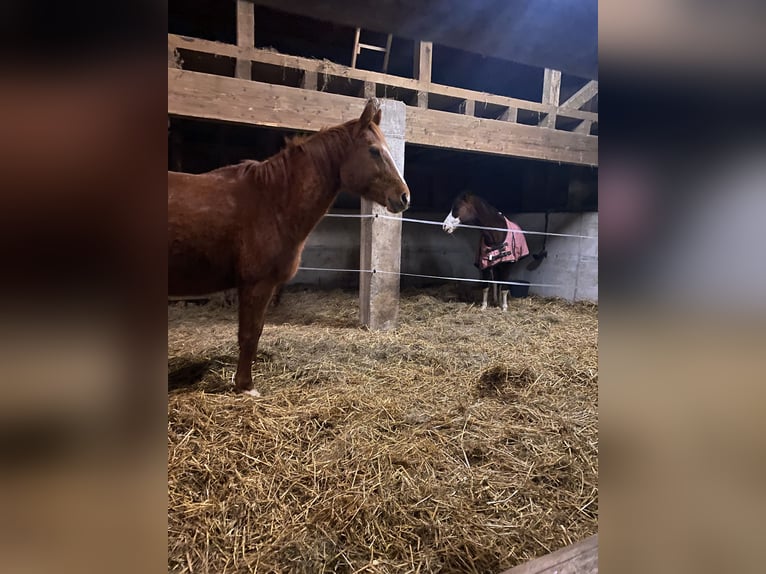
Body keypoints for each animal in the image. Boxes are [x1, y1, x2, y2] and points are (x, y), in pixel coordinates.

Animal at [170, 100, 412, 396]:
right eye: (374, 150)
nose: (404, 197)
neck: (272, 200)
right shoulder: (256, 284)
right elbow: (250, 333)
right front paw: (246, 386)